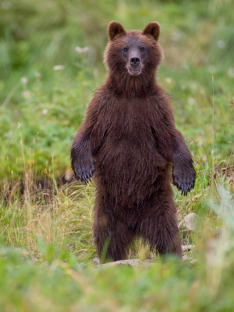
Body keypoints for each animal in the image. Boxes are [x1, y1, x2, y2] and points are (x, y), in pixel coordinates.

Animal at [71, 21, 196, 260]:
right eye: (125, 48)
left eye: (143, 48)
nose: (135, 60)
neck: (131, 92)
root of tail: (135, 226)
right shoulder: (105, 106)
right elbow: (88, 133)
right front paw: (83, 168)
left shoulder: (155, 109)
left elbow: (171, 139)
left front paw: (185, 178)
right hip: (107, 208)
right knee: (107, 237)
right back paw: (109, 258)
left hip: (158, 204)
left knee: (168, 235)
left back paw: (173, 256)